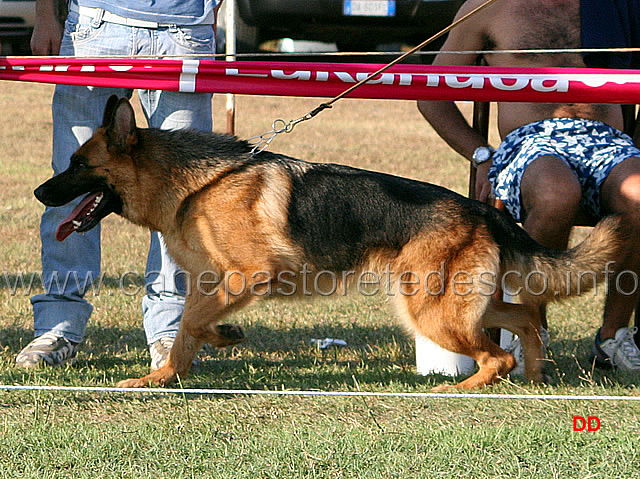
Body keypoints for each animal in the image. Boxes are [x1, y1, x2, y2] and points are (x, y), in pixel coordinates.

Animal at [33, 95, 624, 392]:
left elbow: (190, 326)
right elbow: (189, 328)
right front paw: (189, 359)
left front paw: (181, 363)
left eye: (78, 165)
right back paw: (536, 373)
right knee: (524, 319)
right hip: (454, 305)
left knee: (495, 354)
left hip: (430, 310)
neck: (194, 182)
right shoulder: (211, 282)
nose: (39, 192)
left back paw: (457, 390)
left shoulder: (247, 275)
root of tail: (479, 208)